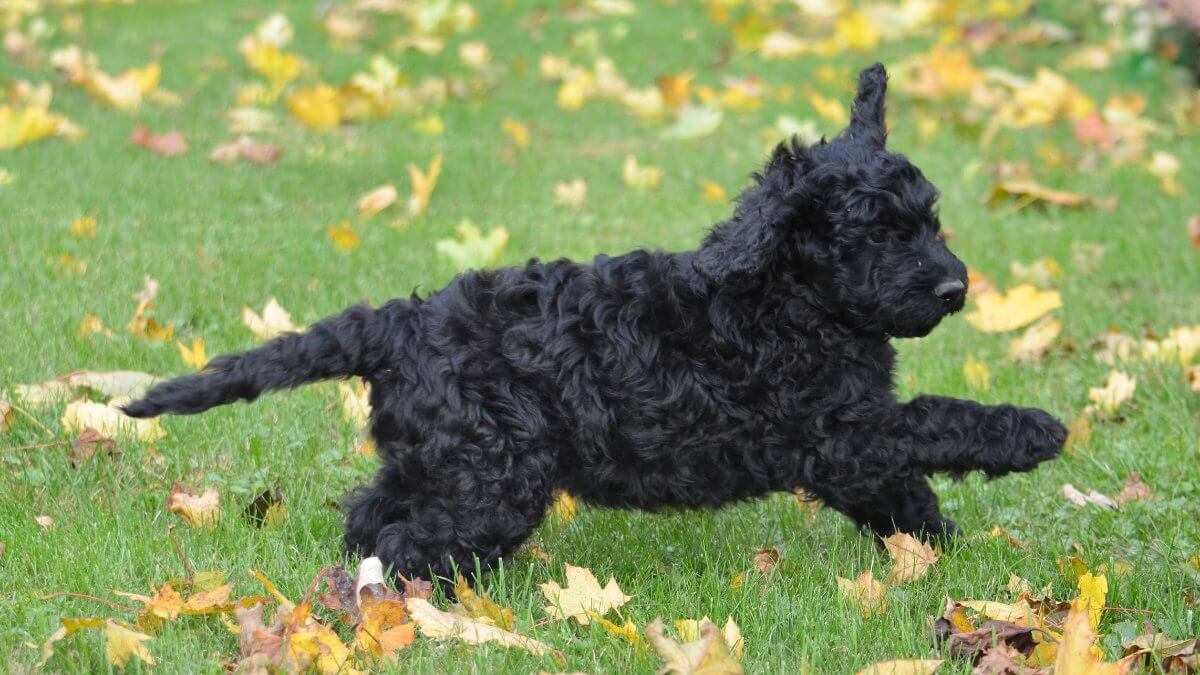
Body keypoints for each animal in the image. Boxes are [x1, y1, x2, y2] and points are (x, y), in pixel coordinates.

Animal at [126, 64, 1065, 578]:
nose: (956, 288)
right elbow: (935, 421)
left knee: (371, 512)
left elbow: (905, 487)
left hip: (440, 456)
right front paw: (1030, 431)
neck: (791, 301)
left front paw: (941, 551)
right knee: (409, 545)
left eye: (932, 220)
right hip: (491, 477)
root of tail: (398, 321)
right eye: (878, 232)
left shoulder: (851, 443)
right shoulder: (839, 431)